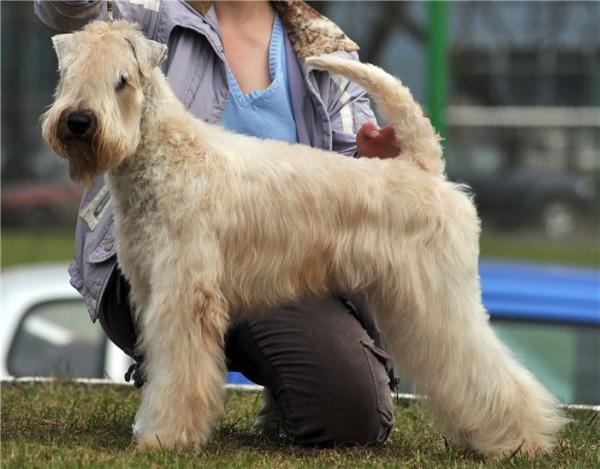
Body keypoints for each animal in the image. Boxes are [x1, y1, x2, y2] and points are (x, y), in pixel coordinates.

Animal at [43, 21, 568, 458]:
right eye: (68, 73)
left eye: (122, 80)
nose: (79, 122)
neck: (164, 155)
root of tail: (422, 167)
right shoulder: (152, 291)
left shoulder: (184, 298)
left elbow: (180, 374)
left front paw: (165, 436)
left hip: (439, 302)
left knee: (487, 369)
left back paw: (521, 440)